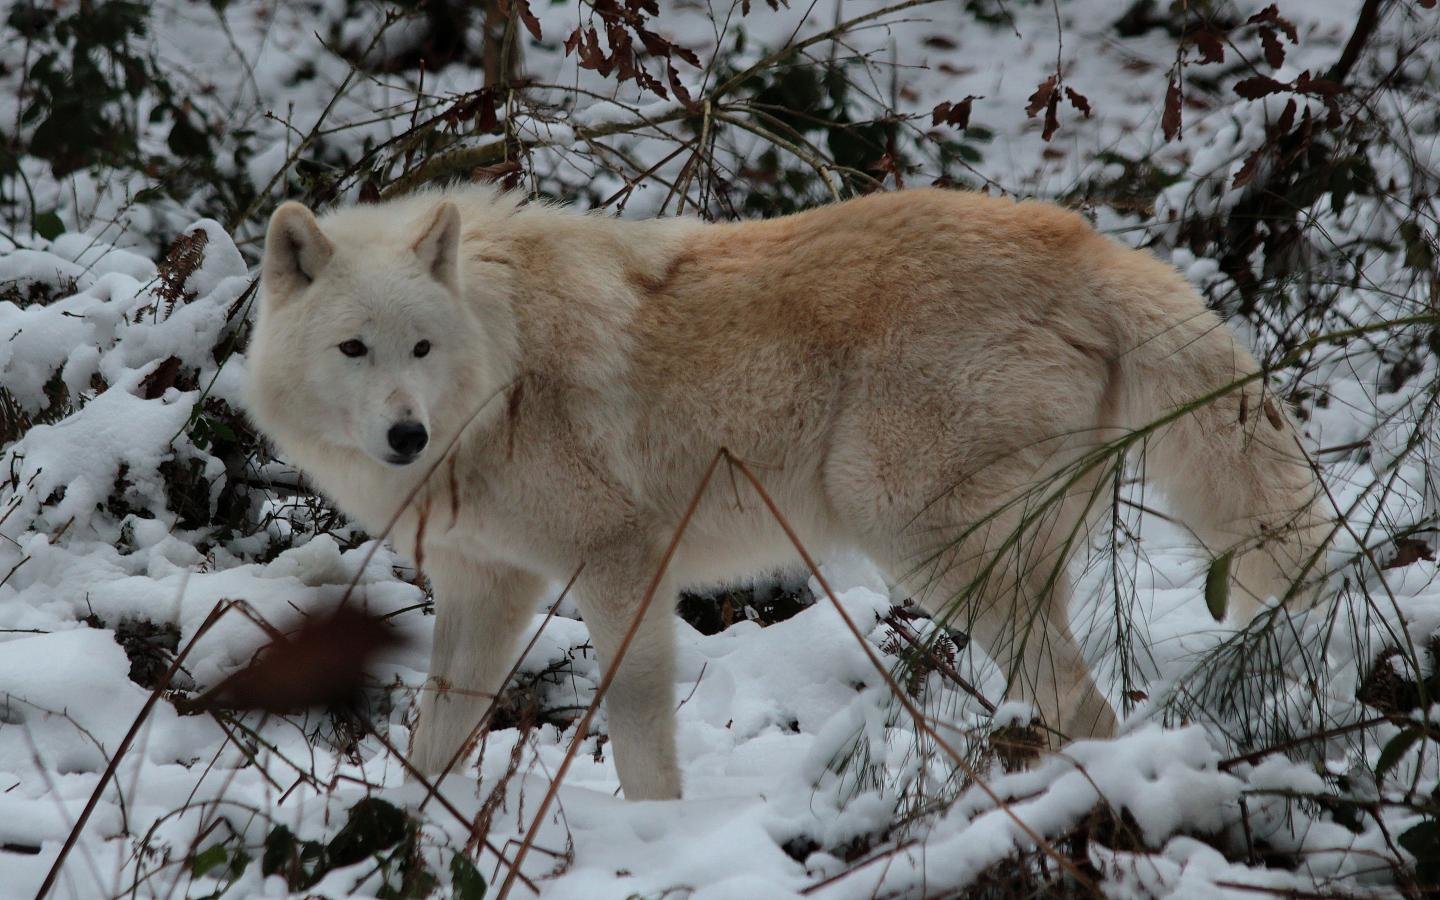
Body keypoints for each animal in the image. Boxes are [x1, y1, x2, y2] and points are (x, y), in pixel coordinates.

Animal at [247, 186, 1323, 800]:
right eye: (355, 349)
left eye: (422, 348)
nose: (406, 435)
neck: (500, 369)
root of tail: (1094, 249)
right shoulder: (487, 586)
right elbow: (437, 736)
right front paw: (405, 836)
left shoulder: (621, 562)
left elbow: (637, 733)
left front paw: (658, 845)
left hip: (915, 536)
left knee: (1087, 707)